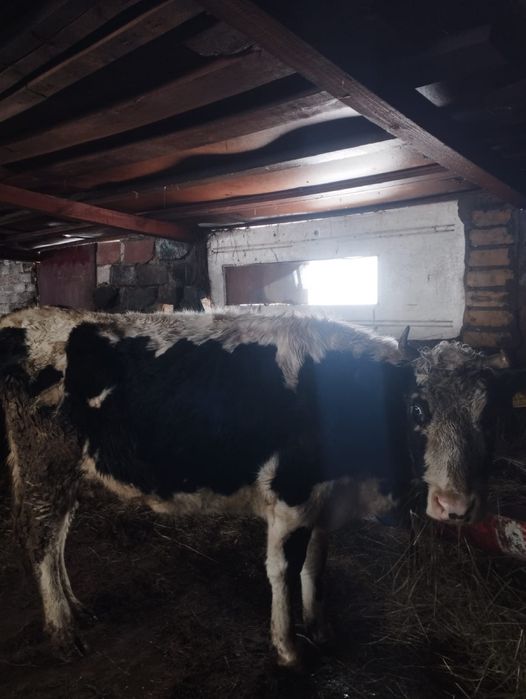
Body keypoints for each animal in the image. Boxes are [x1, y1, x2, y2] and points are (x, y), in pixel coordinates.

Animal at [0, 306, 511, 668]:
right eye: (418, 408)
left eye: (490, 416)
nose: (456, 506)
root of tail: (23, 317)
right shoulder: (291, 496)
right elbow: (283, 569)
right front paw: (288, 647)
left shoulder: (326, 500)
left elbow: (316, 566)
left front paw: (320, 628)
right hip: (44, 462)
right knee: (39, 540)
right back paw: (63, 630)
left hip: (67, 473)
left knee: (57, 538)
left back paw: (76, 608)